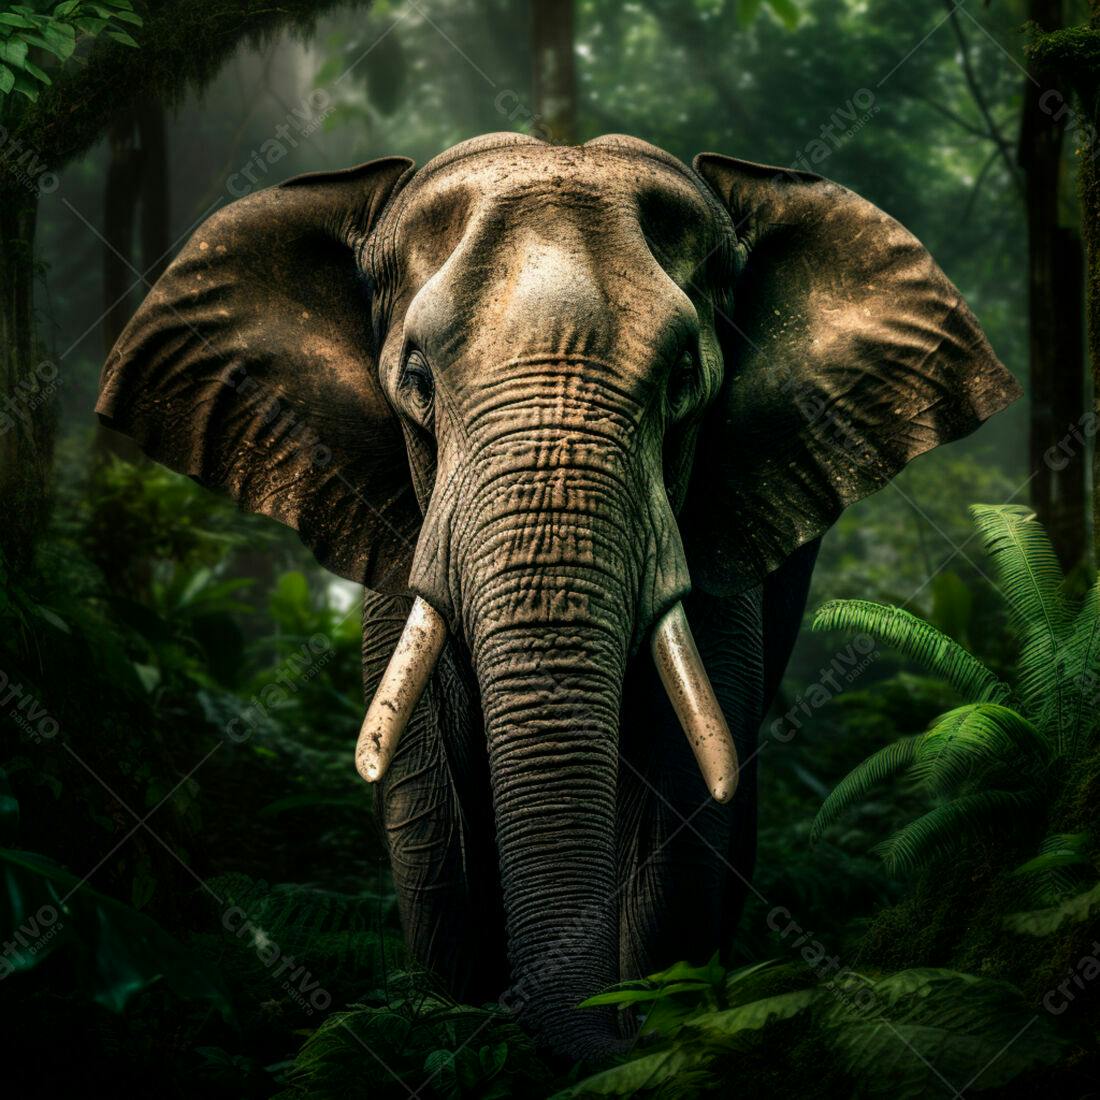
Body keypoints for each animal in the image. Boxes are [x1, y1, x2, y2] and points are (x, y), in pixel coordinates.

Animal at [96, 132, 1020, 1061]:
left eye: (683, 378)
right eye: (417, 378)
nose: (594, 1031)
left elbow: (683, 815)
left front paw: (645, 1038)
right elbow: (431, 822)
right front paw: (468, 1033)